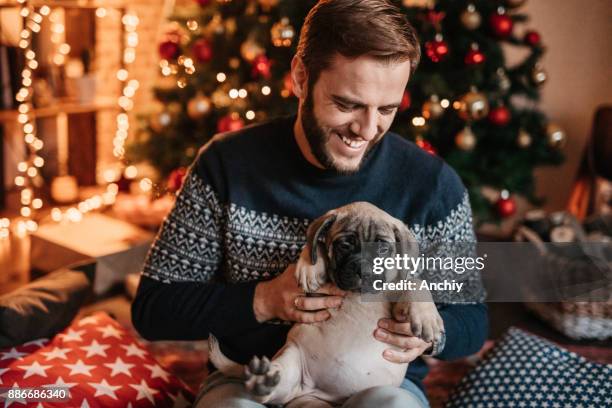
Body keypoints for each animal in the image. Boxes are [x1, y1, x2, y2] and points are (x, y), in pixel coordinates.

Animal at [208, 202, 442, 406]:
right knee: (277, 389)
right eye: (344, 245)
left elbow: (415, 282)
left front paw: (427, 318)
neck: (357, 295)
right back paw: (263, 380)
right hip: (292, 359)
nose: (364, 270)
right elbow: (315, 244)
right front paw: (310, 266)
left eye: (383, 249)